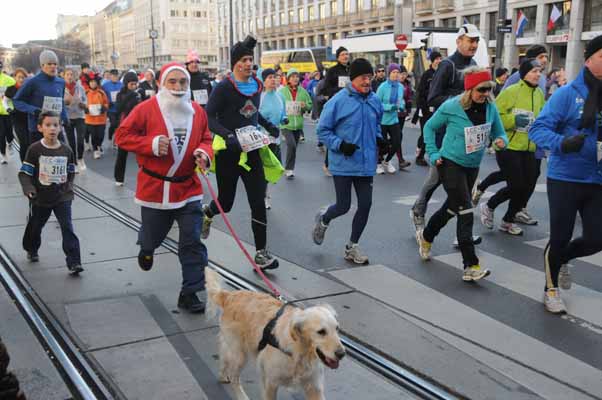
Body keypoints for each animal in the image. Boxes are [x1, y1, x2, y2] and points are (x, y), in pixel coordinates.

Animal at [204, 266, 344, 400]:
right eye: (321, 332)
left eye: (337, 328)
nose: (342, 354)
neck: (299, 351)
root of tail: (229, 295)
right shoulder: (270, 383)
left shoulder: (314, 386)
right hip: (240, 354)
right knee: (234, 378)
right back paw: (241, 396)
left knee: (224, 354)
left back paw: (222, 375)